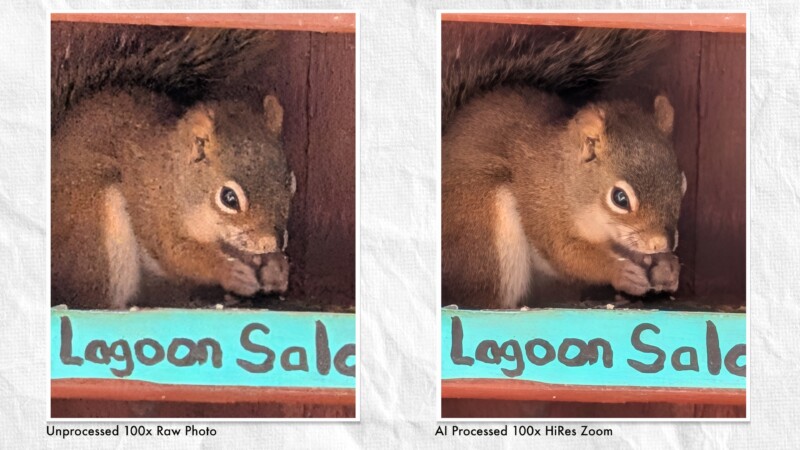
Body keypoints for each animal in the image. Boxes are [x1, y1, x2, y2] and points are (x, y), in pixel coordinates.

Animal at [51, 24, 295, 309]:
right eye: (229, 198)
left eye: (290, 182)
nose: (274, 242)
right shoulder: (154, 208)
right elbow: (175, 253)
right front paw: (229, 272)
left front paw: (277, 268)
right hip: (94, 225)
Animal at [441, 25, 686, 309]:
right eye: (620, 198)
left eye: (682, 184)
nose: (662, 244)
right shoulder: (544, 206)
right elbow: (564, 253)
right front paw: (619, 271)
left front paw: (667, 268)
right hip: (483, 224)